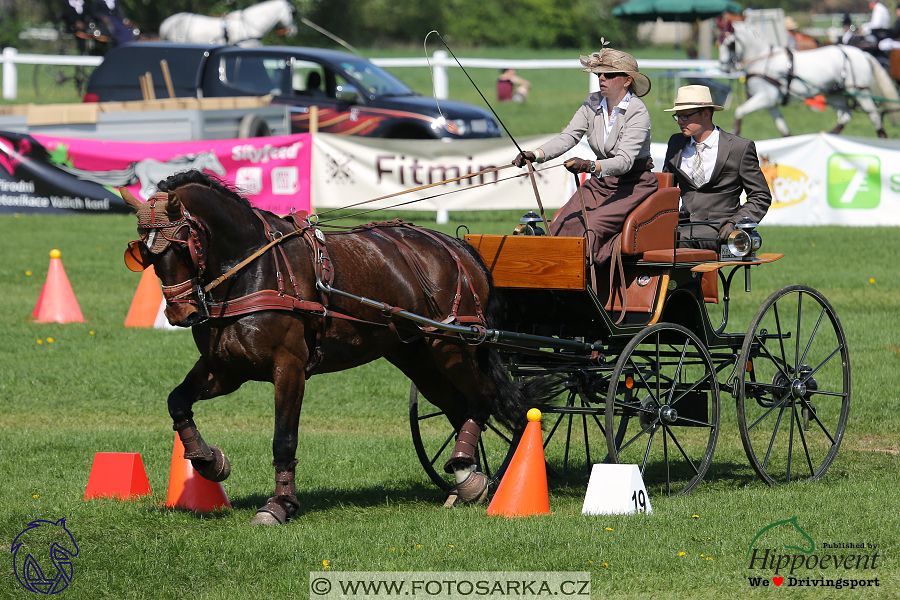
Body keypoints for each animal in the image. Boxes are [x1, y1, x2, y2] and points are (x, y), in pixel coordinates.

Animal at [119, 170, 532, 524]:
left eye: (182, 247)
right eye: (145, 254)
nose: (181, 313)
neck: (253, 269)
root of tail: (455, 245)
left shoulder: (288, 367)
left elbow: (284, 439)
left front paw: (280, 504)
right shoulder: (225, 368)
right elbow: (177, 401)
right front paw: (208, 461)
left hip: (451, 346)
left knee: (481, 398)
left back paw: (468, 471)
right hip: (417, 356)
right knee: (458, 406)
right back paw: (468, 478)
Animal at [716, 22, 900, 137]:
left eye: (730, 44)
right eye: (719, 43)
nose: (724, 68)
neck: (762, 60)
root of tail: (861, 52)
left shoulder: (765, 98)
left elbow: (739, 112)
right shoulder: (771, 104)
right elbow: (783, 129)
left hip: (859, 92)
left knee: (875, 117)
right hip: (835, 94)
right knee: (845, 116)